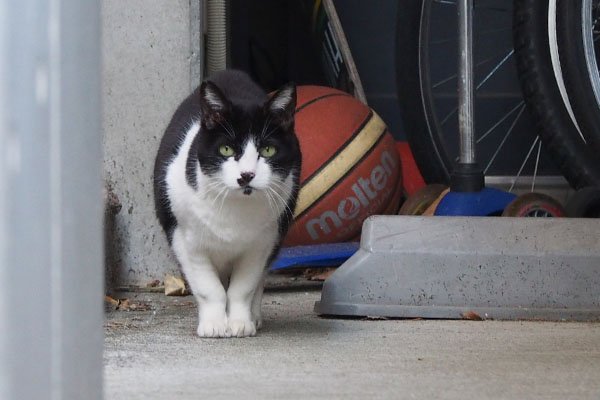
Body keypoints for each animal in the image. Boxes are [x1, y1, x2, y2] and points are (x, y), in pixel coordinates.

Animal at [154, 71, 300, 338]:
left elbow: (243, 288)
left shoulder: (262, 242)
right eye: (226, 148)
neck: (235, 208)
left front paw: (240, 324)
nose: (247, 175)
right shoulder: (184, 238)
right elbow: (209, 289)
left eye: (268, 149)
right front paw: (213, 325)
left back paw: (254, 317)